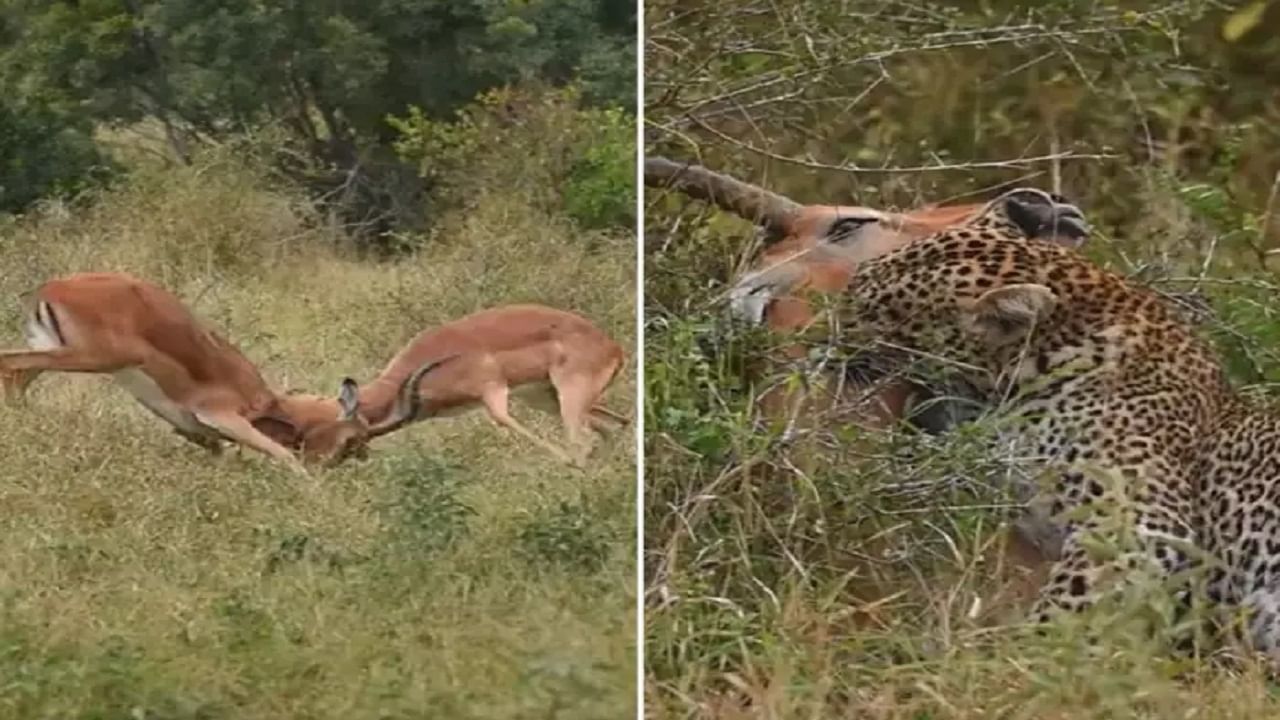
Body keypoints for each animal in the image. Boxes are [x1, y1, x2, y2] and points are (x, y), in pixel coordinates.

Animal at [834, 183, 1280, 661]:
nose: (827, 333)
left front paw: (1012, 661)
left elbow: (1066, 606)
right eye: (858, 282)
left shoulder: (1141, 525)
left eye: (876, 312)